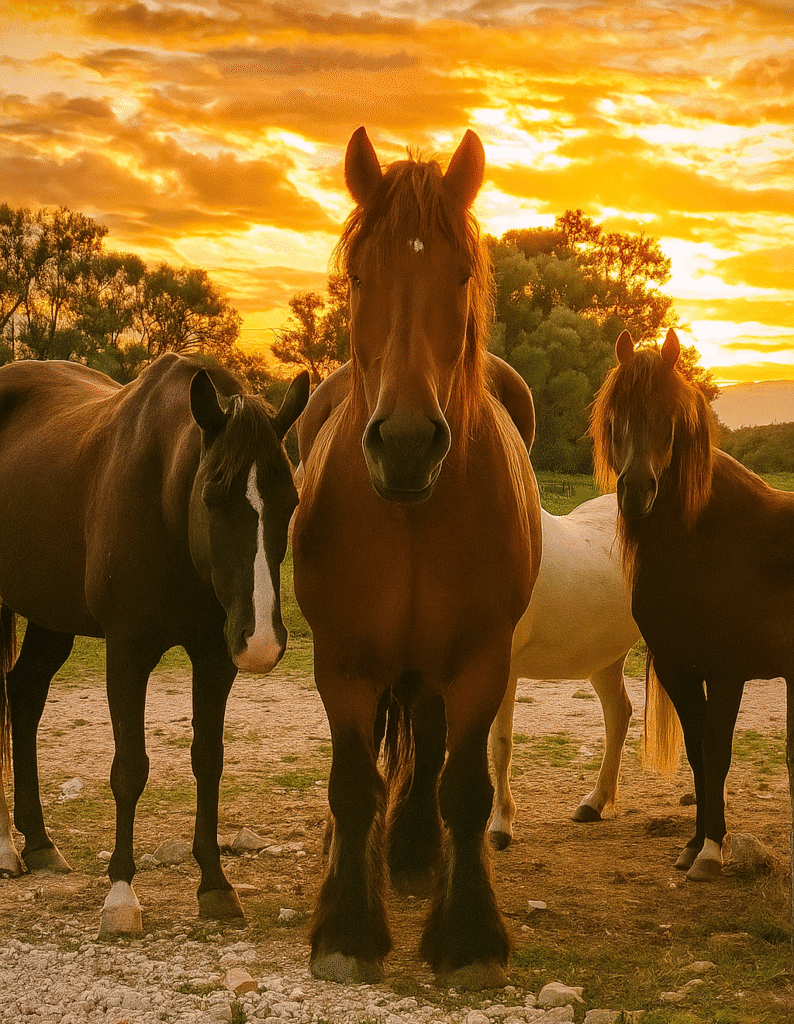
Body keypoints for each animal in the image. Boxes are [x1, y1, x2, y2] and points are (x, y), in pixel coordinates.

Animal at [0, 354, 309, 934]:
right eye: (212, 497)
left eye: (292, 500)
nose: (260, 639)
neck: (163, 497)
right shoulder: (126, 652)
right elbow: (130, 768)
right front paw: (121, 893)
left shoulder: (215, 657)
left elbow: (208, 759)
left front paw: (215, 883)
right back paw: (7, 847)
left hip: (51, 615)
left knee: (24, 695)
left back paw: (38, 842)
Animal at [291, 128, 542, 990]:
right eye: (359, 274)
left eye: (460, 273)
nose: (404, 443)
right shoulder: (341, 661)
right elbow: (349, 785)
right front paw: (346, 928)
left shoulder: (480, 662)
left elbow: (463, 789)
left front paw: (468, 939)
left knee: (429, 752)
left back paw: (411, 853)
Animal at [590, 327, 794, 886]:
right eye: (615, 416)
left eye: (667, 417)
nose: (637, 491)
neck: (704, 540)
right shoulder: (679, 669)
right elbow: (699, 756)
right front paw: (694, 844)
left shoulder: (726, 673)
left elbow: (716, 752)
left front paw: (711, 852)